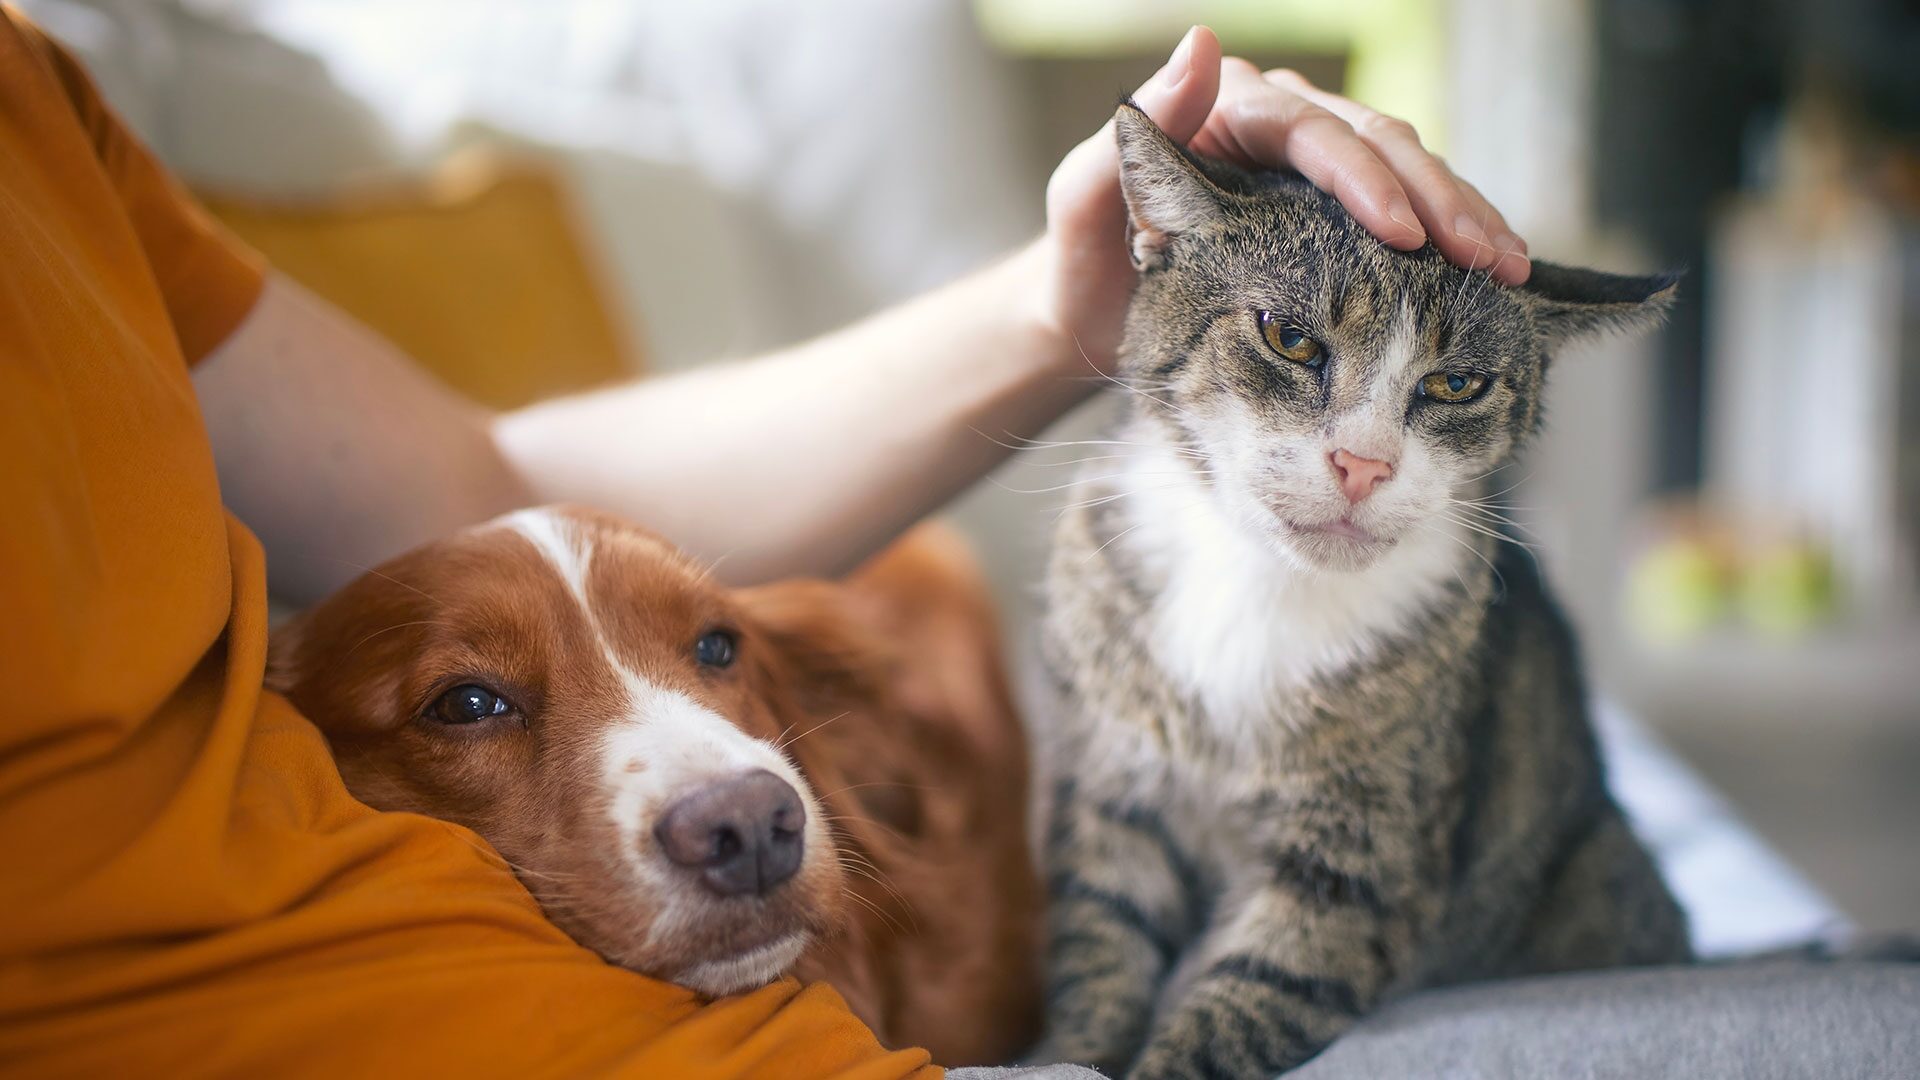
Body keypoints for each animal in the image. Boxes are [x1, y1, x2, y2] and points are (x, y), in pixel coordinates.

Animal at [1036, 107, 1681, 1076]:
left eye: (1456, 382)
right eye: (1290, 337)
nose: (1364, 464)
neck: (1262, 584)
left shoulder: (1360, 855)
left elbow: (1254, 992)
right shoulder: (1113, 793)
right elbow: (1099, 946)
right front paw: (1069, 1049)